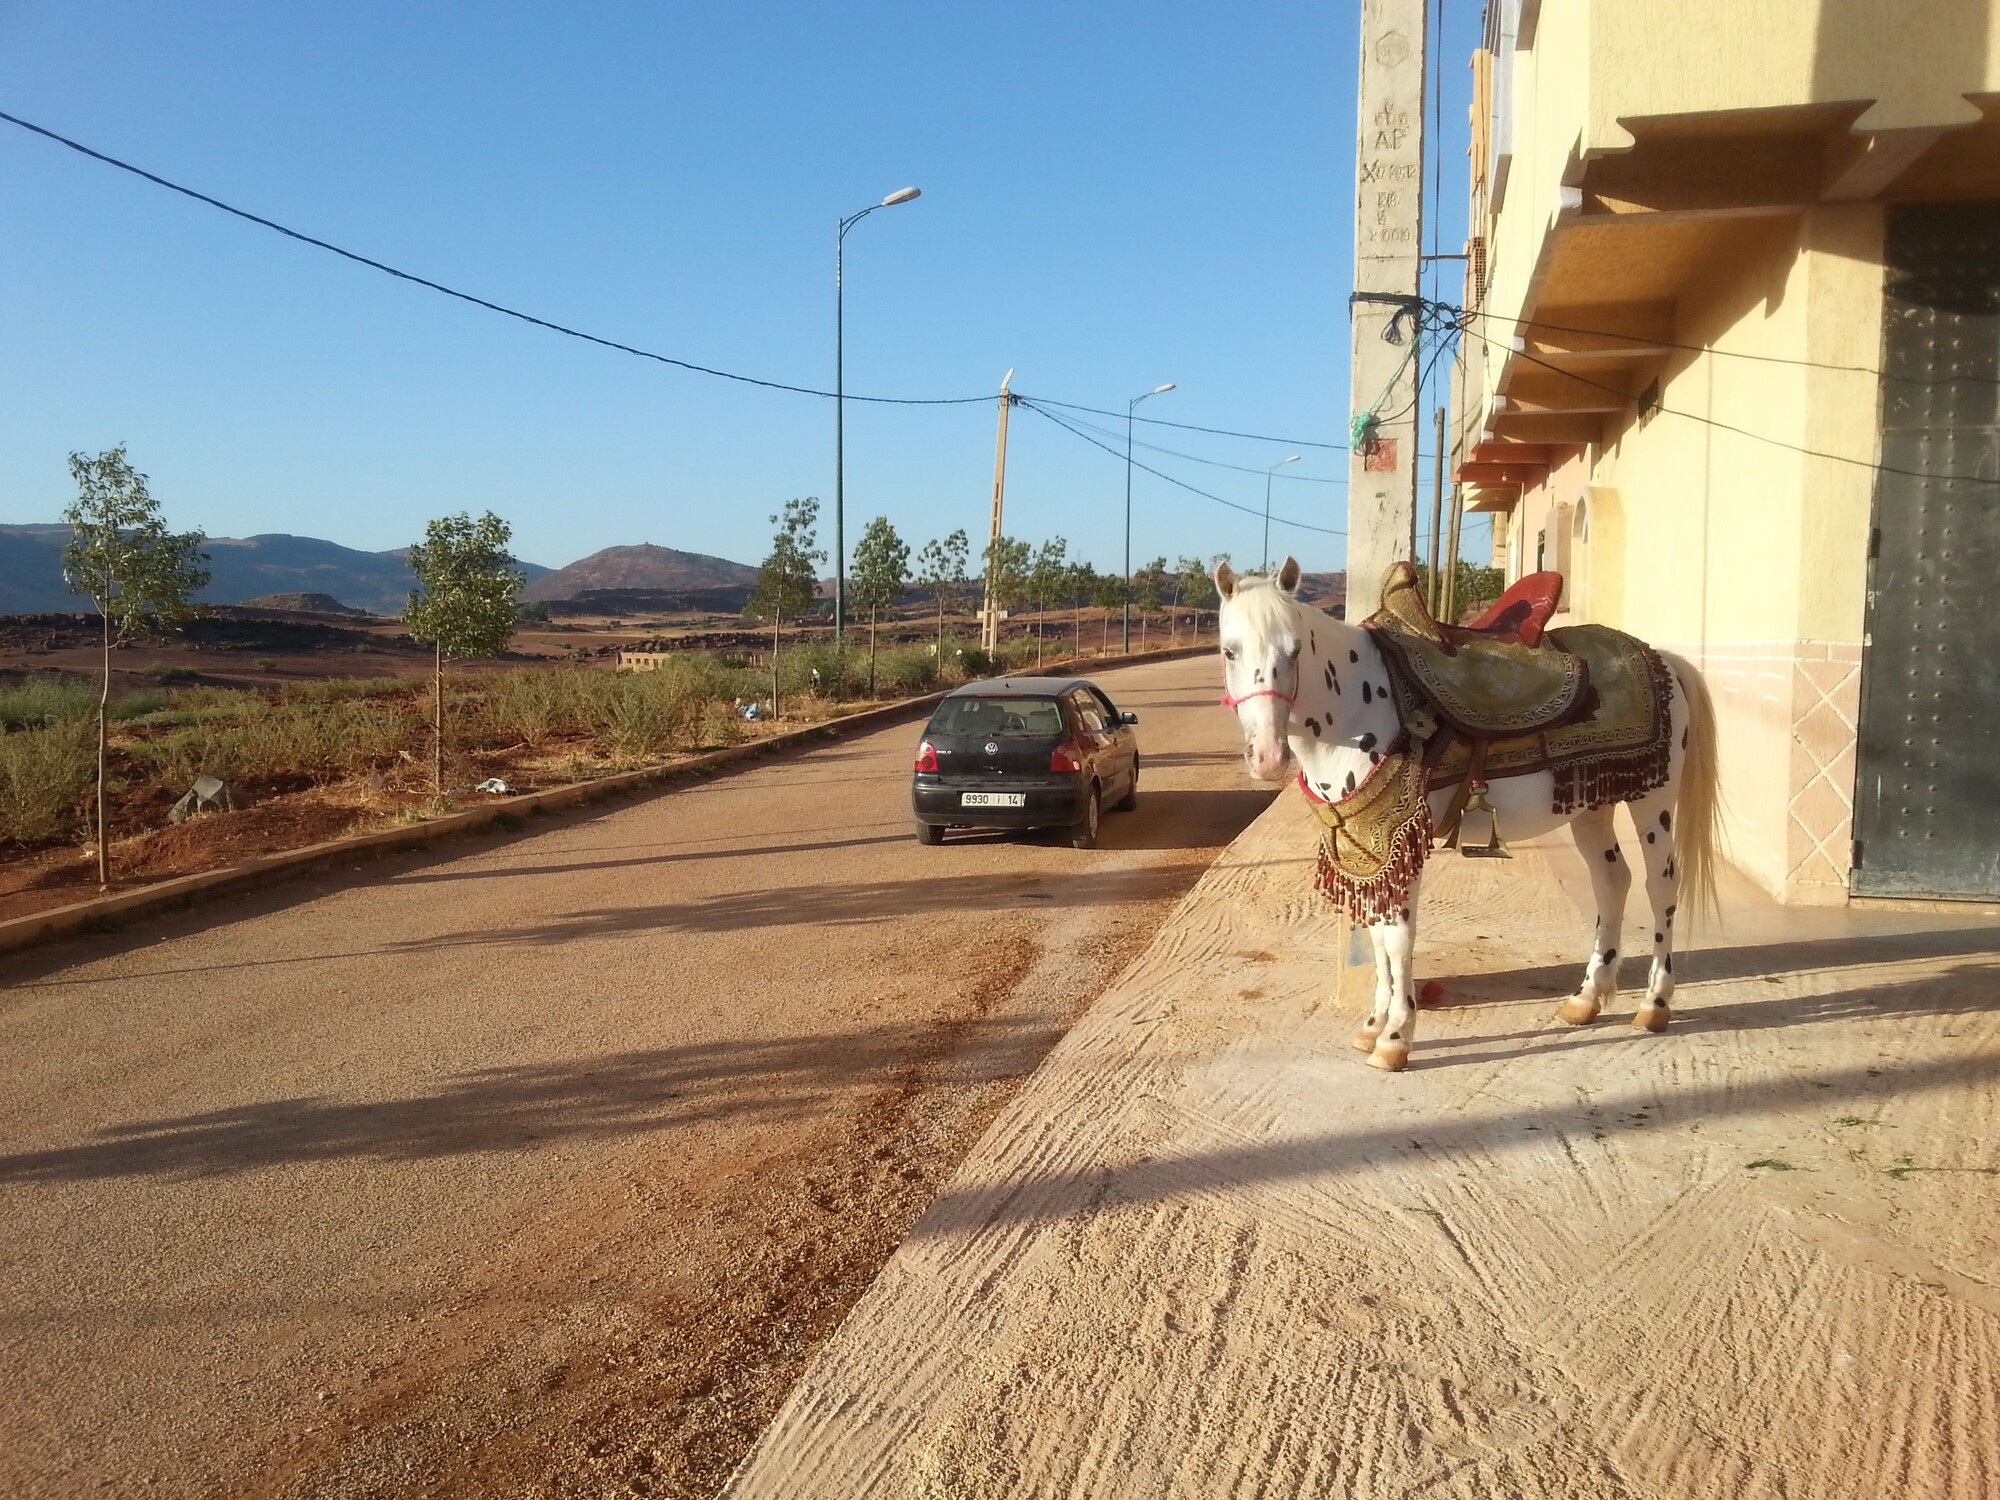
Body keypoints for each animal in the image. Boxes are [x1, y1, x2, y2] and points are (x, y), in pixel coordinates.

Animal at [1208, 560, 1728, 1072]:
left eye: (1295, 649)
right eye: (1228, 652)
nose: (1267, 757)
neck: (1355, 706)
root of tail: (1662, 658)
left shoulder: (1399, 839)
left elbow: (1398, 940)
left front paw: (1395, 1038)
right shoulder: (1369, 851)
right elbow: (1376, 937)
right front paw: (1373, 1024)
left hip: (1654, 802)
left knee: (1660, 888)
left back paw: (1654, 1004)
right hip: (1592, 805)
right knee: (1611, 881)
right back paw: (1586, 998)